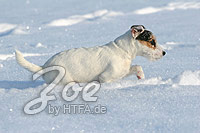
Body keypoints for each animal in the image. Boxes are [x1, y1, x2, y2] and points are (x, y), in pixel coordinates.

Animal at [15, 25, 166, 84]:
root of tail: (44, 67)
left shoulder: (123, 70)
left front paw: (142, 78)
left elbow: (137, 67)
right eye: (152, 42)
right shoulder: (105, 77)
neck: (122, 49)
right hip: (65, 80)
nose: (164, 52)